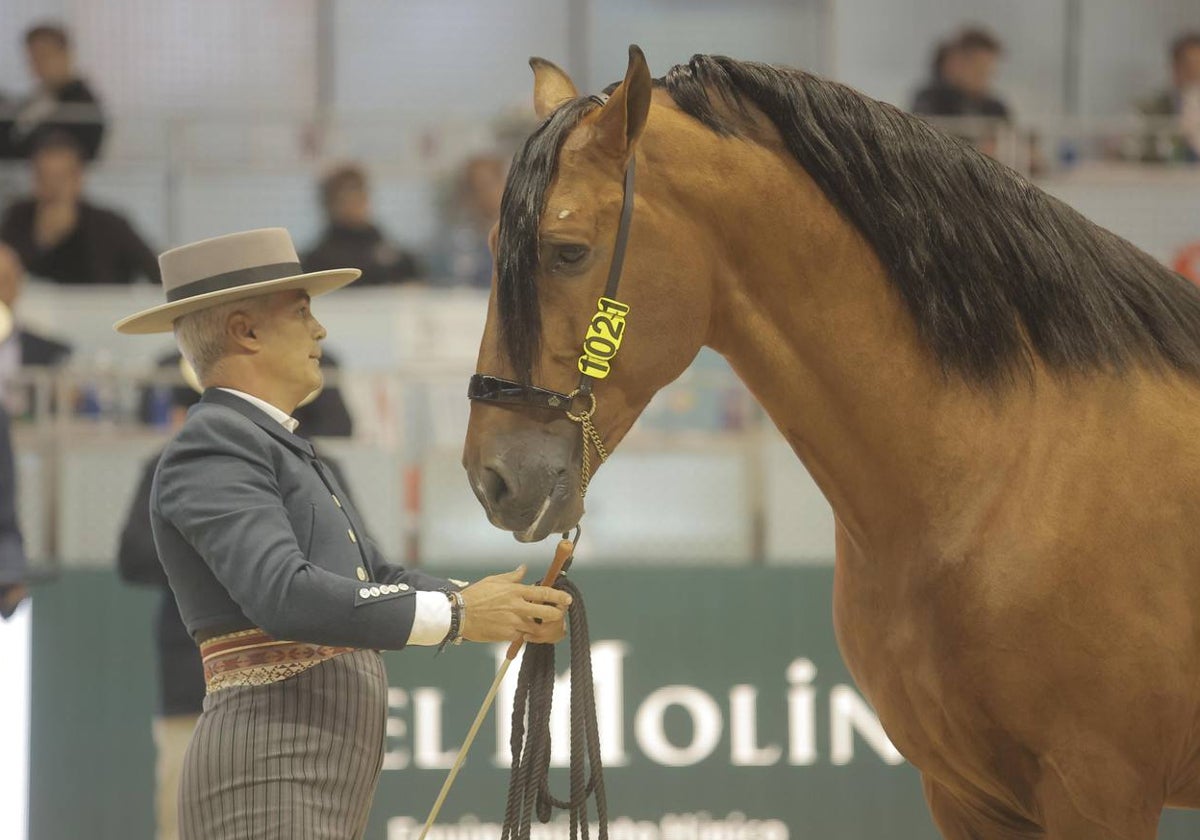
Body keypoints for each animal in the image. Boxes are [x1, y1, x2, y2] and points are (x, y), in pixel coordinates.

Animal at [460, 47, 1200, 840]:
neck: (1011, 474)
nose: (490, 477)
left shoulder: (1096, 792)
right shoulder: (967, 795)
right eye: (493, 247)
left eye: (567, 251)